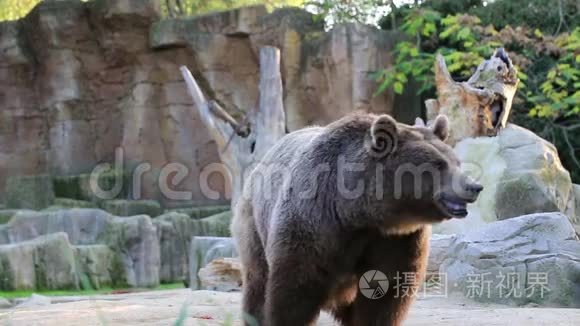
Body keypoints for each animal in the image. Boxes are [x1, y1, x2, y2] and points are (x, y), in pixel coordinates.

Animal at [231, 112, 480, 326]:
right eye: (438, 164)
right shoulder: (313, 226)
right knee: (258, 282)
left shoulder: (398, 240)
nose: (474, 186)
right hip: (254, 224)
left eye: (456, 161)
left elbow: (385, 295)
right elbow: (293, 292)